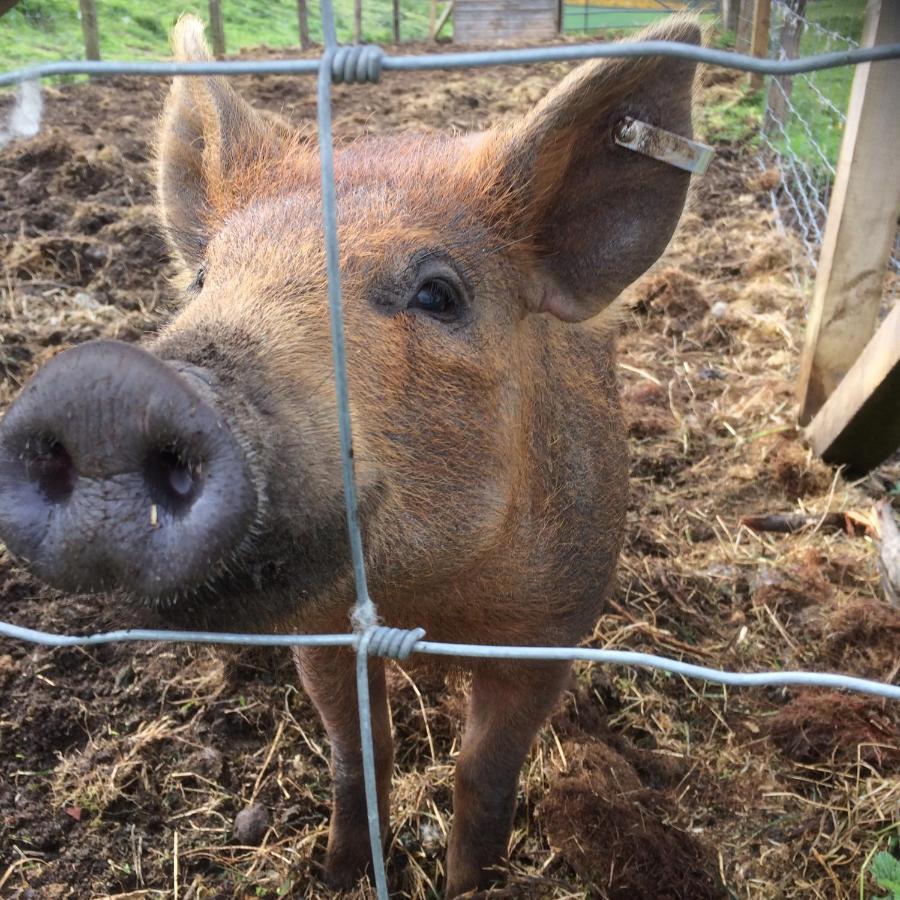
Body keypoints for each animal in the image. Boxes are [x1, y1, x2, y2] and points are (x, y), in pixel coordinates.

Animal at [0, 12, 704, 892]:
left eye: (439, 293)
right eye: (203, 280)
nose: (104, 390)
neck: (427, 596)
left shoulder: (554, 620)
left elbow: (485, 771)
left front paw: (467, 884)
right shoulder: (322, 626)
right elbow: (357, 750)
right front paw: (339, 874)